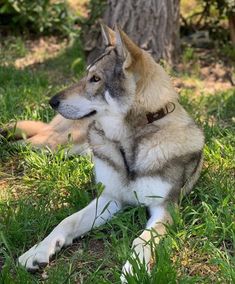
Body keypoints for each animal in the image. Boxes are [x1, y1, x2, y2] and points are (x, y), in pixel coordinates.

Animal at [17, 25, 204, 282]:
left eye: (95, 79)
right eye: (85, 75)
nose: (52, 101)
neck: (129, 140)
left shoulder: (165, 208)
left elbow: (143, 240)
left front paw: (134, 270)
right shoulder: (110, 198)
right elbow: (67, 221)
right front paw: (38, 251)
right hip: (59, 143)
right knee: (32, 140)